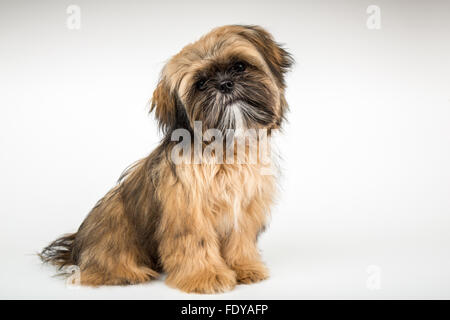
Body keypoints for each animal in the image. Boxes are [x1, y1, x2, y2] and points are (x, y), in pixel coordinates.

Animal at [40, 26, 294, 294]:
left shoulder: (245, 207)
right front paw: (206, 276)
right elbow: (197, 243)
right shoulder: (188, 210)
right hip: (115, 230)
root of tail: (75, 248)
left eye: (239, 66)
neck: (226, 150)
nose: (225, 85)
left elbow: (240, 240)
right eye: (201, 84)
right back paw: (128, 273)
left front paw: (244, 267)